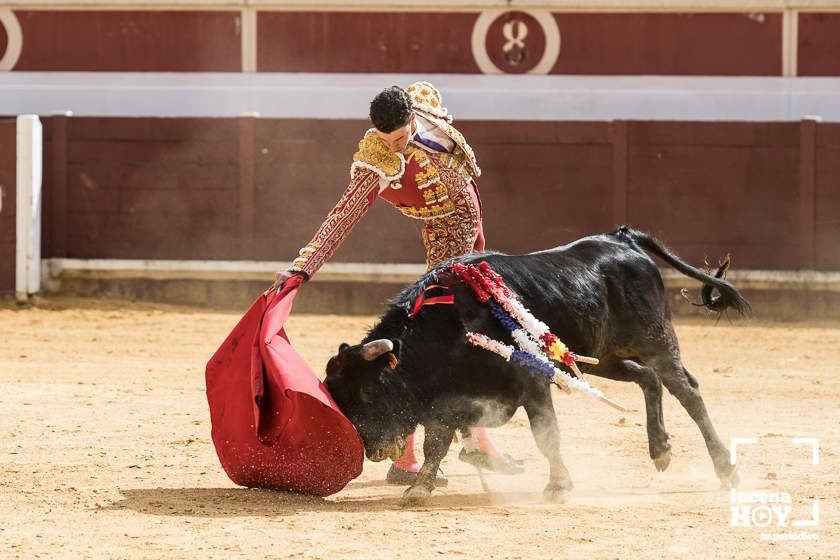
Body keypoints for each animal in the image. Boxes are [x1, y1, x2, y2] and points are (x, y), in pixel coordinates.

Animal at [324, 226, 752, 504]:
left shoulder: (531, 382)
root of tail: (622, 238)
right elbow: (436, 443)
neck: (451, 325)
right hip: (601, 358)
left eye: (368, 390)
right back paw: (660, 449)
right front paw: (420, 487)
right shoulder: (448, 398)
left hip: (656, 340)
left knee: (687, 391)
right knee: (648, 380)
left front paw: (559, 486)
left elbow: (546, 434)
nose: (372, 450)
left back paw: (726, 469)